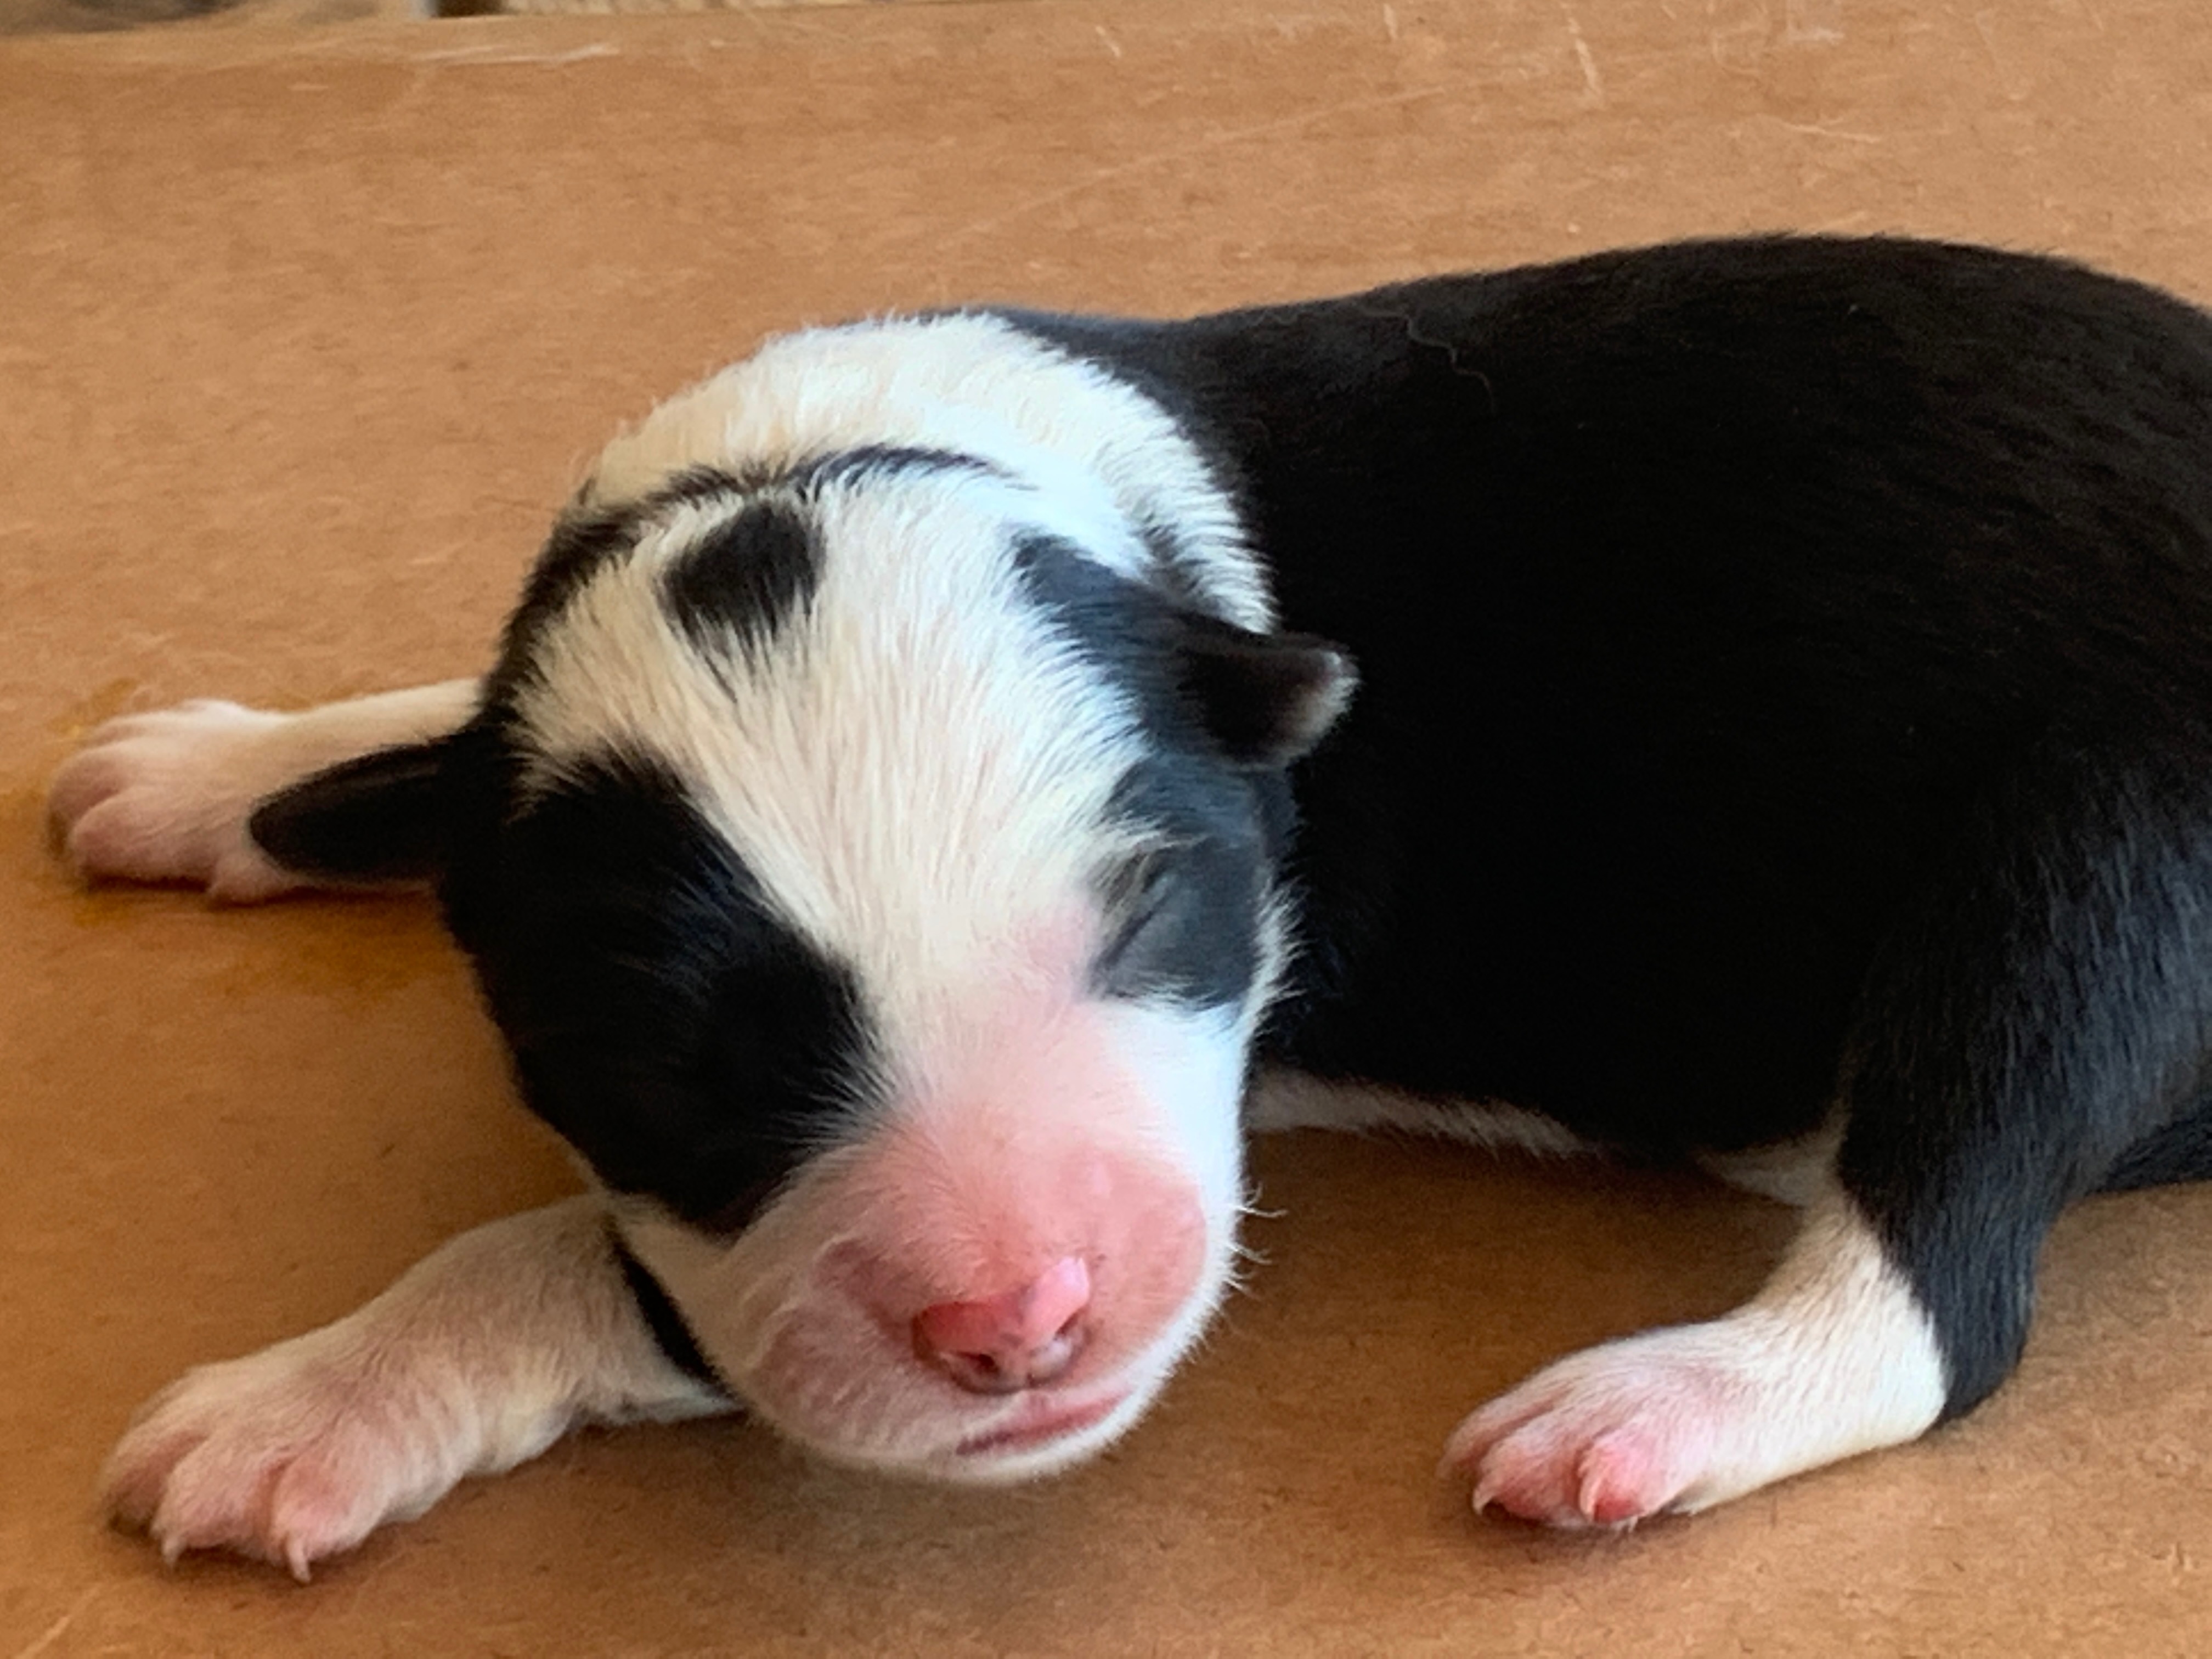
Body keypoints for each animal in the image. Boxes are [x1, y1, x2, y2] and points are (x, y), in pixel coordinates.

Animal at [47, 236, 2212, 1583]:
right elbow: (441, 736)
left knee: (1945, 1258)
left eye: (1152, 911)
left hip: (2101, 841)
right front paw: (235, 767)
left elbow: (557, 1249)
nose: (1020, 1324)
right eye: (658, 1056)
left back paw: (1658, 1402)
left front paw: (306, 1398)